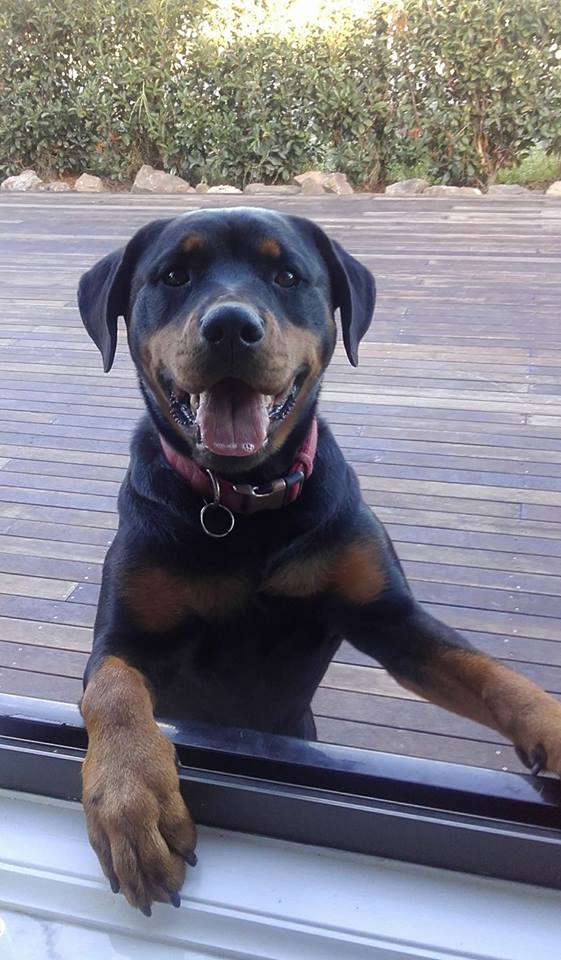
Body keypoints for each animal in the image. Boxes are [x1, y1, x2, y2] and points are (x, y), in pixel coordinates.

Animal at [77, 208, 560, 916]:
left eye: (286, 276)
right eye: (173, 275)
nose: (230, 325)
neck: (244, 505)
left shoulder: (388, 616)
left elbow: (487, 671)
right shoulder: (127, 634)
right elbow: (111, 691)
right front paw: (132, 801)